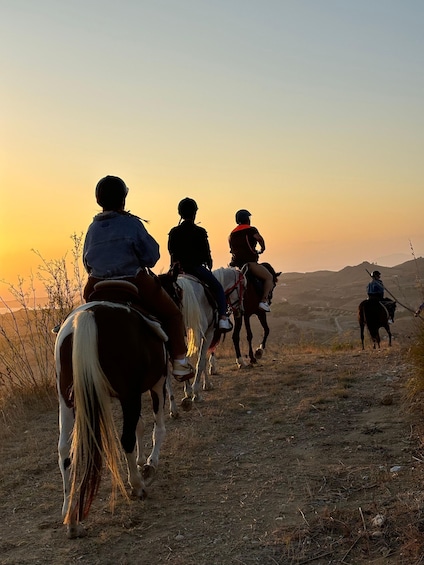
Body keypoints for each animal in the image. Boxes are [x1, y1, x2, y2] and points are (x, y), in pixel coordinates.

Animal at [55, 290, 169, 536]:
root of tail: (88, 315)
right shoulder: (157, 383)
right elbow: (156, 427)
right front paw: (150, 463)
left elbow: (140, 425)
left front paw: (142, 461)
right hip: (130, 394)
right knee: (125, 439)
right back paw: (137, 486)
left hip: (66, 400)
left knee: (64, 451)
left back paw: (70, 517)